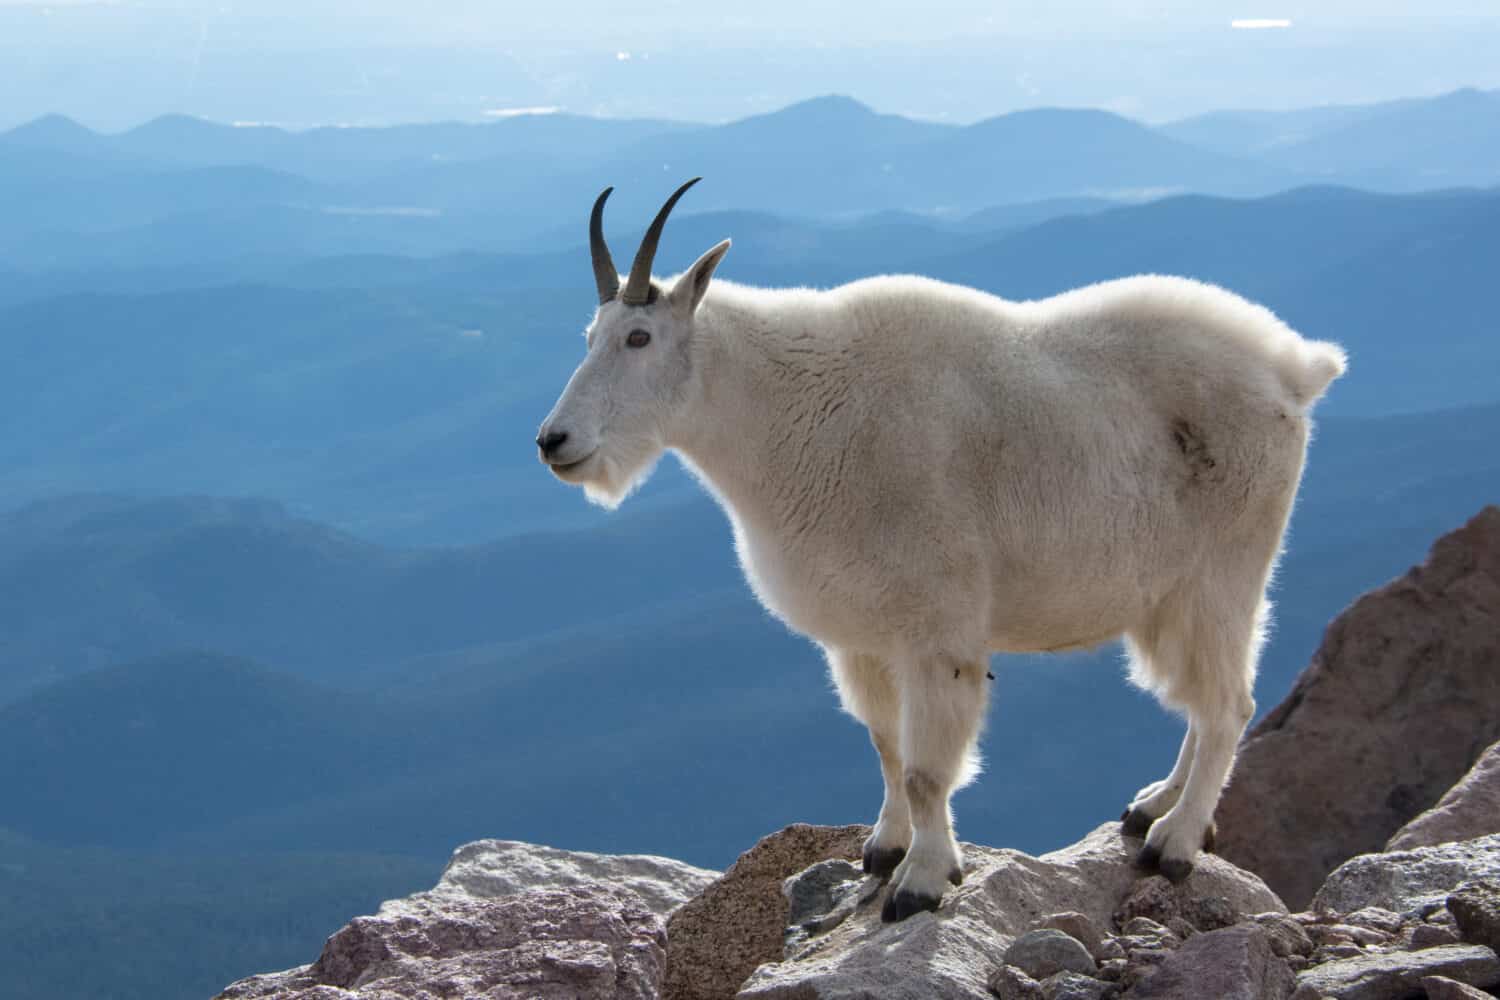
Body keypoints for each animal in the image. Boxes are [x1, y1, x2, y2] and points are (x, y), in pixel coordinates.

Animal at [537, 177, 1350, 923]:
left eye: (639, 338)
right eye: (588, 338)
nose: (554, 442)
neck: (788, 412)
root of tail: (1295, 371)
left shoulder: (939, 628)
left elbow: (930, 769)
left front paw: (922, 883)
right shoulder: (863, 636)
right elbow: (887, 747)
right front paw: (885, 849)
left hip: (1223, 573)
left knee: (1228, 704)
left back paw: (1174, 844)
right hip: (1168, 595)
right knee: (1203, 702)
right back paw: (1155, 805)